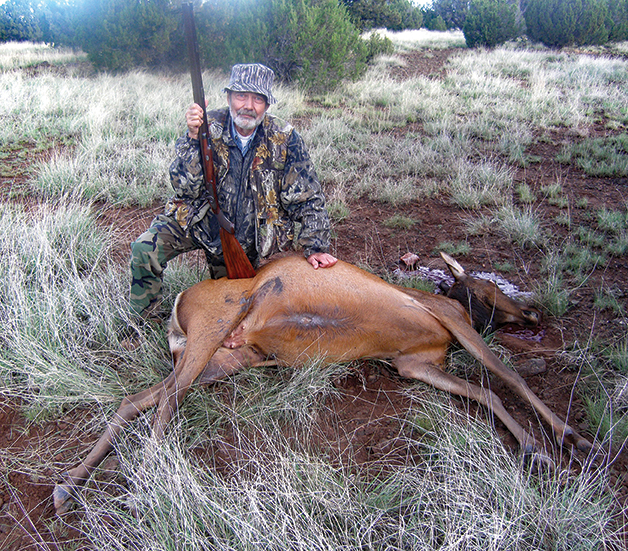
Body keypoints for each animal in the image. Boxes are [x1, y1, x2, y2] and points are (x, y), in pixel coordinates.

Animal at [54, 256, 588, 516]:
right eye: (489, 287)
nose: (533, 312)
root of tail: (176, 304)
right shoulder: (451, 319)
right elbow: (506, 374)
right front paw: (564, 439)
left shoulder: (413, 364)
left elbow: (484, 391)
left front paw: (536, 447)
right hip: (210, 335)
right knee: (164, 401)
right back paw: (144, 485)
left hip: (225, 358)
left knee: (136, 399)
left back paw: (68, 486)